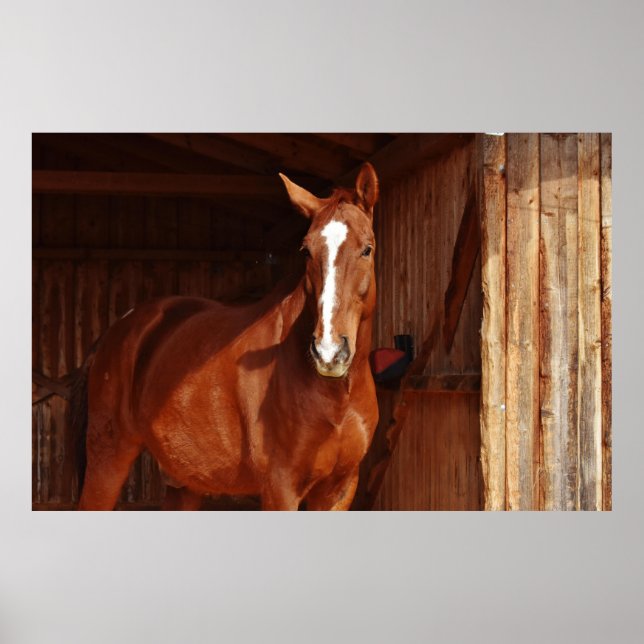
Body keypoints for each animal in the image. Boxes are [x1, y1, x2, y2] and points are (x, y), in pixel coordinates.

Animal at [73, 163, 380, 510]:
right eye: (306, 250)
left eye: (366, 249)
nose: (328, 352)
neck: (334, 396)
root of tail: (116, 331)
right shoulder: (280, 488)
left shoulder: (339, 489)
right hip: (107, 461)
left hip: (183, 483)